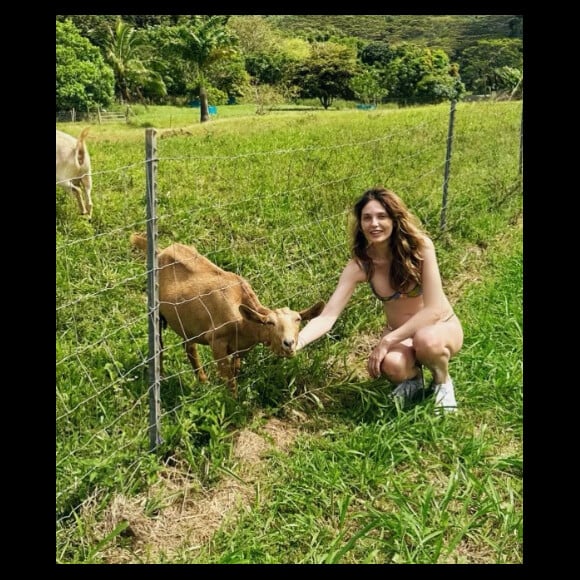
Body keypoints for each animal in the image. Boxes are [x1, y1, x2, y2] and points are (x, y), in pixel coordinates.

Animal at [130, 233, 326, 396]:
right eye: (270, 323)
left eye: (298, 319)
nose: (289, 343)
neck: (244, 322)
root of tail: (161, 251)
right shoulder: (216, 341)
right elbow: (229, 379)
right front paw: (233, 401)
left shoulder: (241, 347)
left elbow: (235, 369)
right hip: (155, 310)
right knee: (160, 346)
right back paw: (162, 378)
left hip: (187, 322)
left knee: (189, 346)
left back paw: (202, 381)